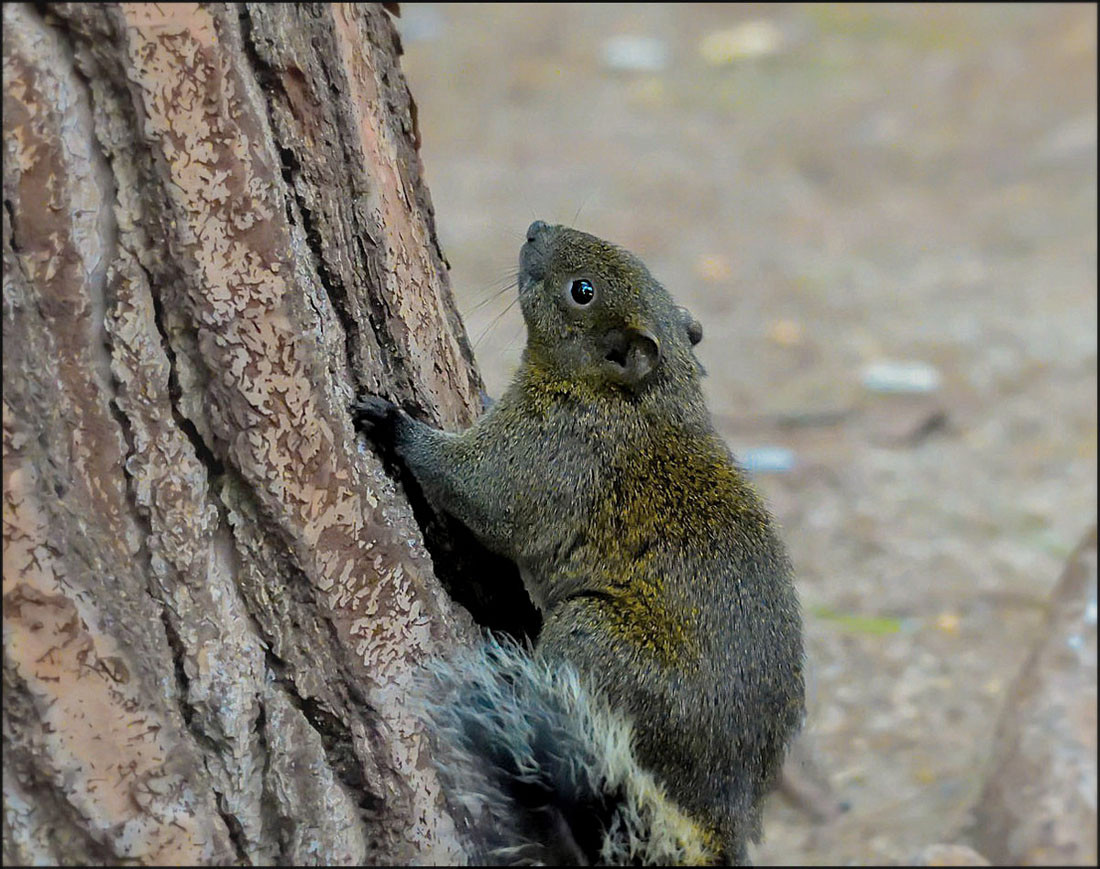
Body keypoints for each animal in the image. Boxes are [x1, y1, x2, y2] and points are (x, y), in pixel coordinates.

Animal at [356, 223, 805, 862]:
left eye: (582, 292)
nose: (535, 228)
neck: (636, 397)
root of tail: (721, 815)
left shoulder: (553, 453)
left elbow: (481, 494)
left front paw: (396, 425)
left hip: (594, 636)